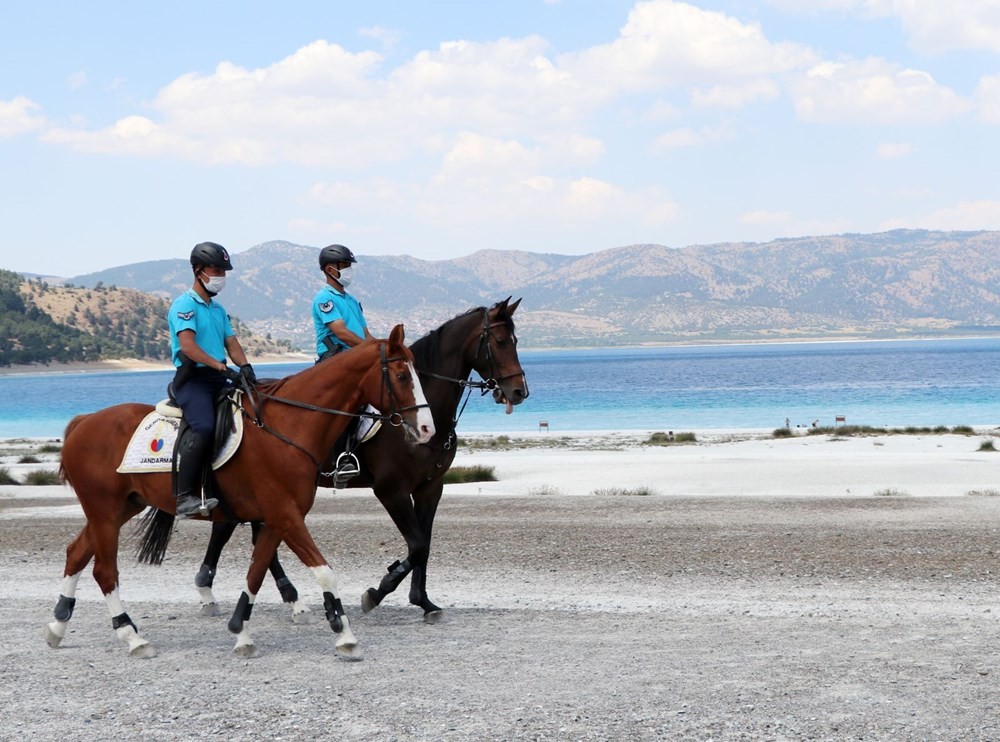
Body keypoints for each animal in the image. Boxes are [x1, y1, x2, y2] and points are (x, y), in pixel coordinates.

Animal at [46, 328, 434, 660]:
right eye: (402, 377)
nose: (427, 429)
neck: (288, 427)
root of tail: (84, 421)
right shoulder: (286, 516)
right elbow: (324, 572)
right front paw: (345, 635)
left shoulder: (277, 519)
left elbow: (256, 573)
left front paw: (241, 632)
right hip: (105, 511)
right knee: (104, 572)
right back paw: (131, 636)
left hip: (120, 509)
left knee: (76, 552)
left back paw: (57, 626)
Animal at [190, 300, 528, 624]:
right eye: (500, 341)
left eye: (515, 340)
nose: (519, 391)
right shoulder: (391, 490)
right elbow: (417, 545)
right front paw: (377, 592)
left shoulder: (430, 487)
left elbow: (425, 545)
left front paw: (424, 602)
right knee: (236, 527)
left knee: (242, 528)